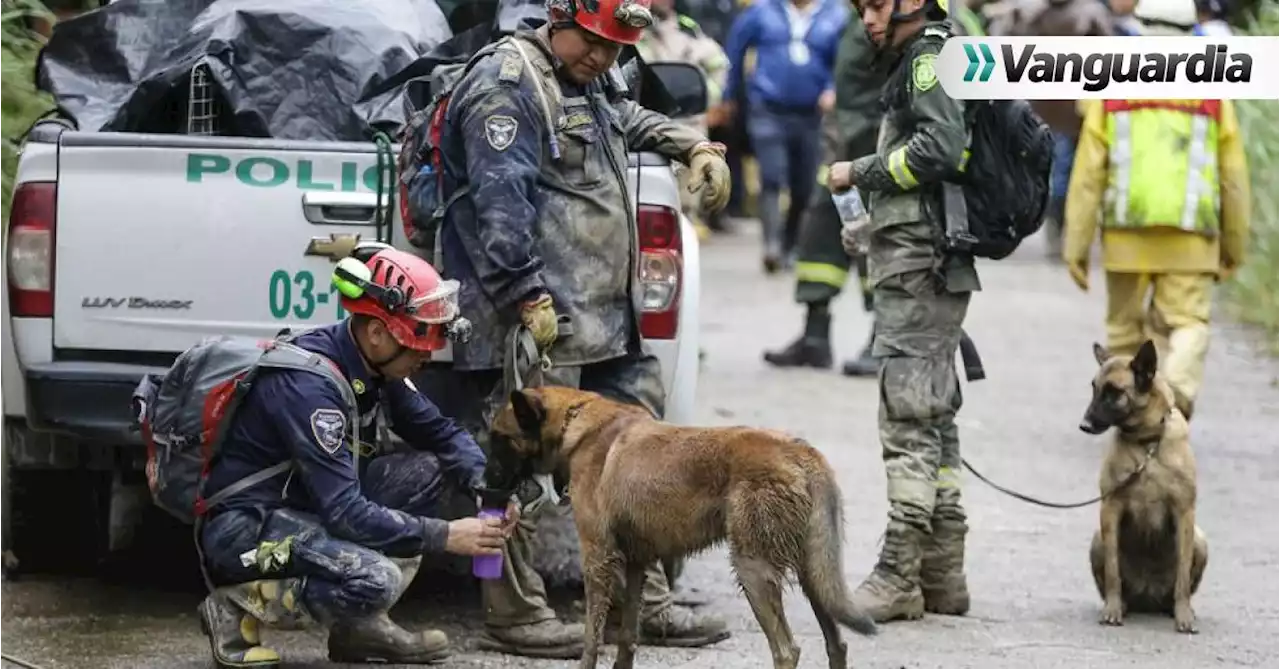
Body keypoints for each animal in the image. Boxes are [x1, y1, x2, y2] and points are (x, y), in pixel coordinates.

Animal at [483, 383, 875, 669]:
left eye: (499, 439)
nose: (484, 484)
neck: (576, 423)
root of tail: (803, 453)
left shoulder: (597, 558)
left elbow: (592, 641)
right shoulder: (636, 563)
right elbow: (627, 637)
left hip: (753, 569)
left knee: (786, 650)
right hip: (812, 574)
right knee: (837, 643)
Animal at [1080, 342, 1208, 637]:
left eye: (1114, 393)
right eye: (1094, 388)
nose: (1084, 425)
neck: (1148, 443)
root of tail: (1148, 598)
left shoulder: (1184, 512)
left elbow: (1182, 576)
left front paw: (1183, 616)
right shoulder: (1110, 509)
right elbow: (1113, 571)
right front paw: (1113, 610)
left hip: (1200, 539)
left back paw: (1177, 609)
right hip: (1097, 539)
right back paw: (1123, 605)